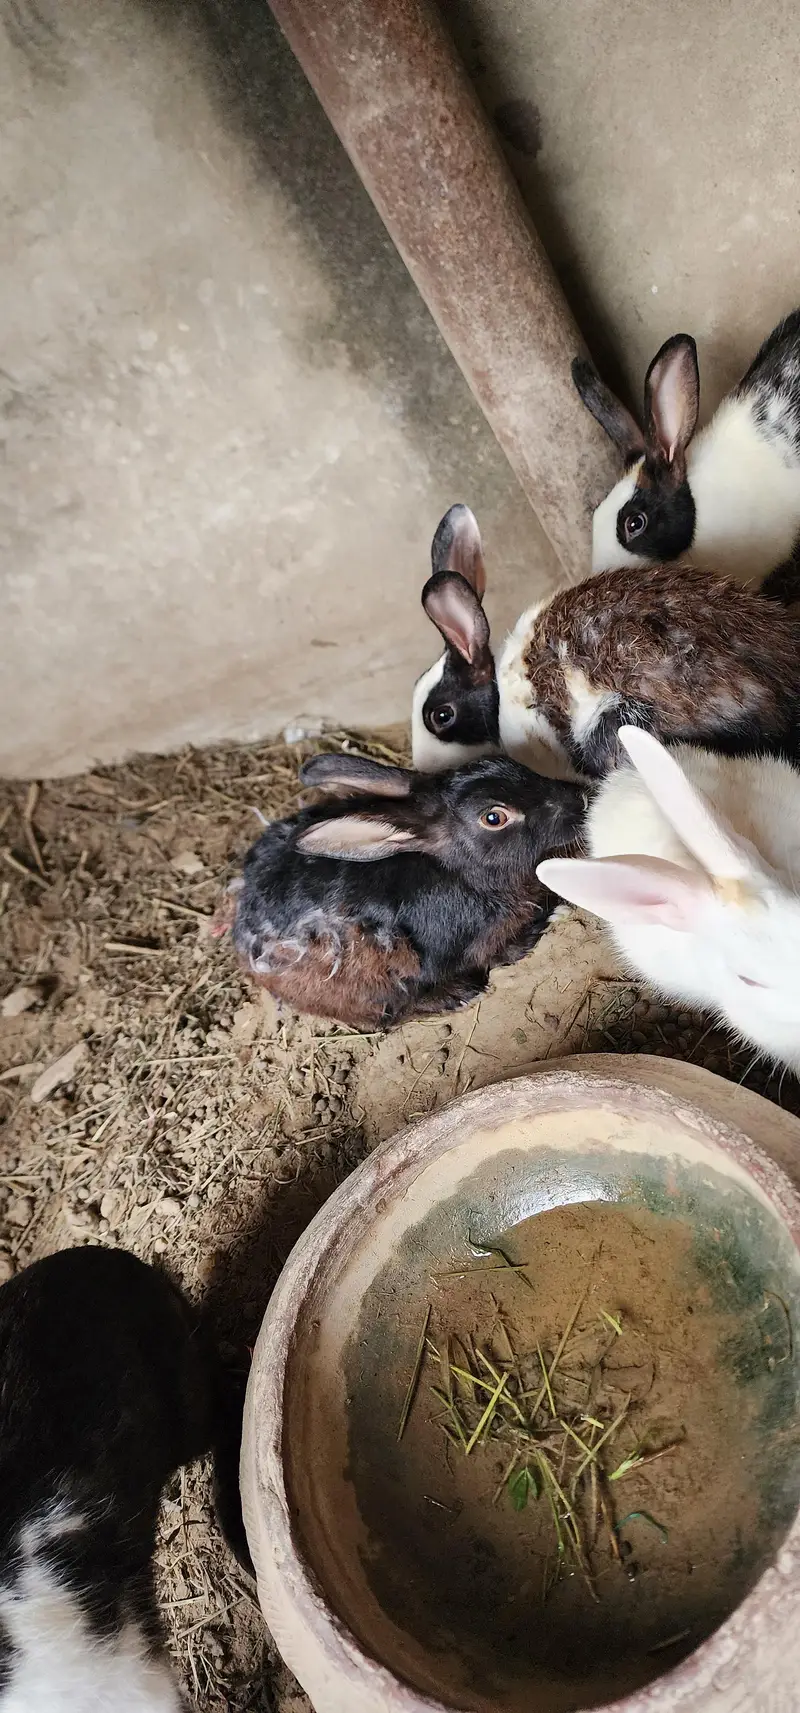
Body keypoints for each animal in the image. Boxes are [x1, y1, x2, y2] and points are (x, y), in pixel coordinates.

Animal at [229, 750, 588, 1030]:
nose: (580, 799)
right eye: (494, 818)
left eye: (508, 762)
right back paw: (458, 995)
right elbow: (502, 954)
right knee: (388, 1016)